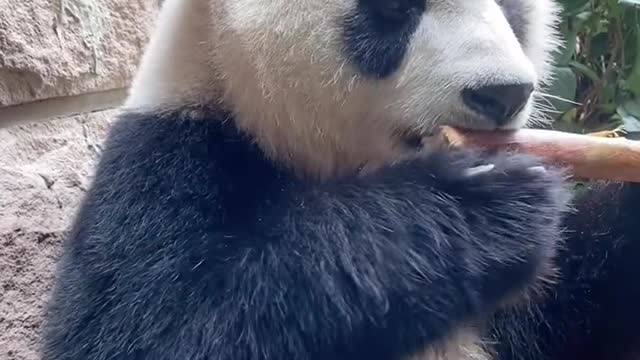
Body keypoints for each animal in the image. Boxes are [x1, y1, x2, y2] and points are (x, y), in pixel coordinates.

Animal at [41, 0, 640, 358]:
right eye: (396, 8)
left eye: (512, 5)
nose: (503, 94)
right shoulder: (168, 165)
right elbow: (165, 329)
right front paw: (491, 204)